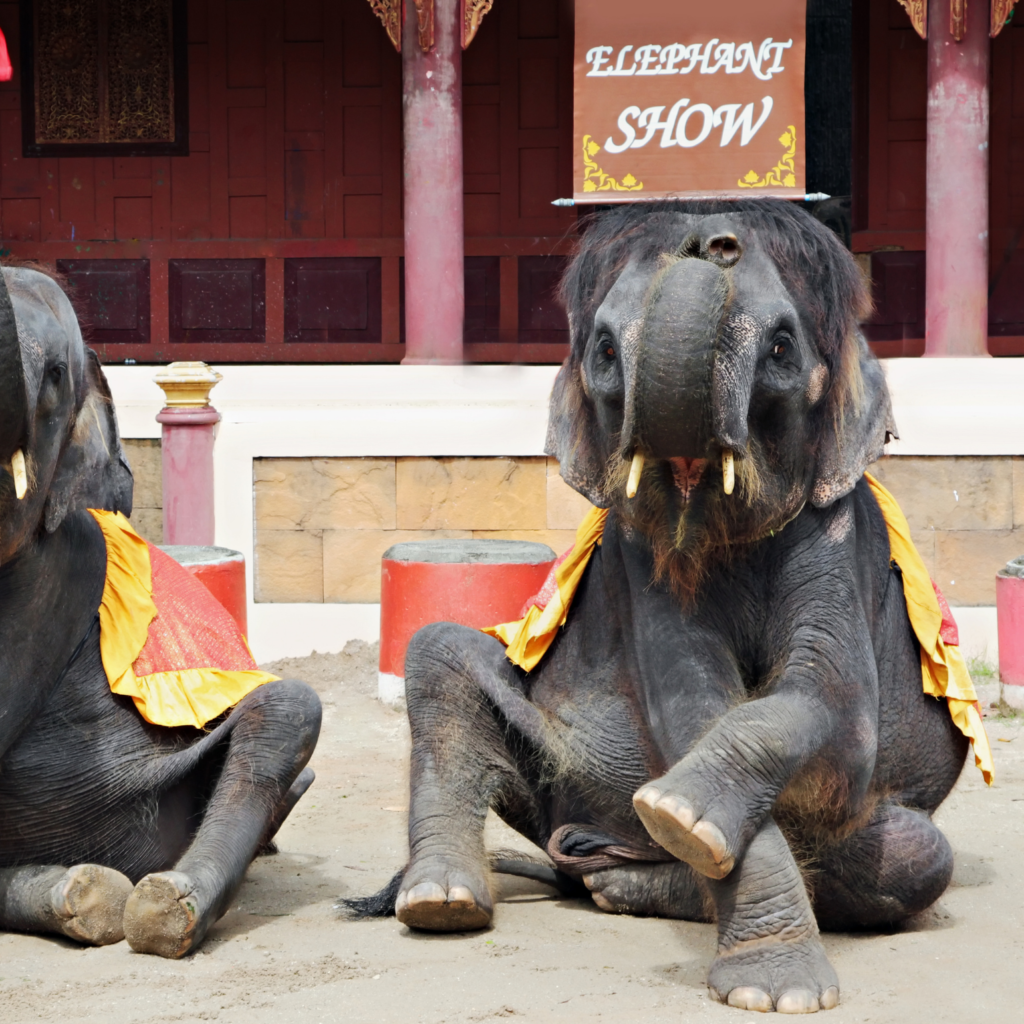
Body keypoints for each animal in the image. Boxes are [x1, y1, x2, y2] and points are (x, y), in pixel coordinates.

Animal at [358, 201, 974, 1015]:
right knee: (438, 653)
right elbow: (691, 701)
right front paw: (772, 980)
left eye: (782, 346)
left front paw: (681, 821)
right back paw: (445, 901)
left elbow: (837, 717)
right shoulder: (635, 551)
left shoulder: (840, 538)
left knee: (917, 855)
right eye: (603, 350)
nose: (710, 235)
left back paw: (622, 881)